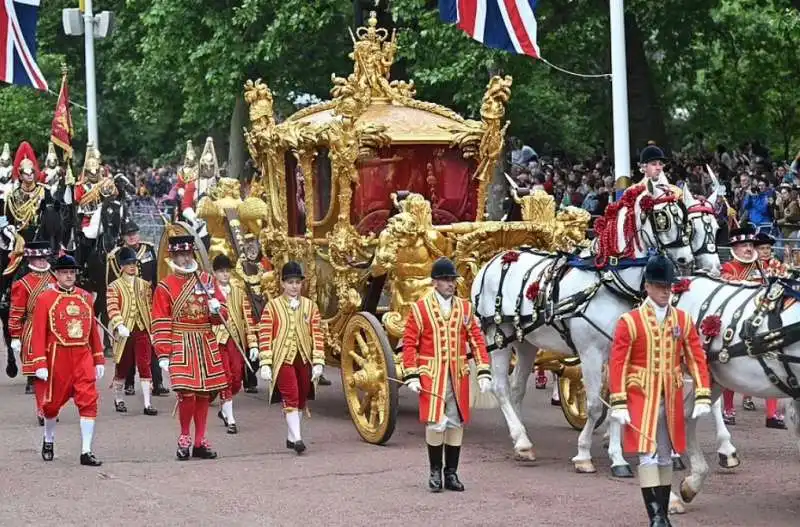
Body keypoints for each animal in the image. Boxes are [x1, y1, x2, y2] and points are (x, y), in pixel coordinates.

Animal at [472, 184, 720, 472]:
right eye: (662, 218)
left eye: (684, 221)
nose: (685, 260)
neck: (609, 282)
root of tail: (494, 260)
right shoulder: (590, 353)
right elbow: (593, 405)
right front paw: (583, 454)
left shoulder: (623, 352)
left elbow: (617, 402)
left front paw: (618, 457)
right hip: (498, 336)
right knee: (500, 388)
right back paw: (521, 440)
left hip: (526, 342)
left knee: (516, 389)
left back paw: (520, 437)